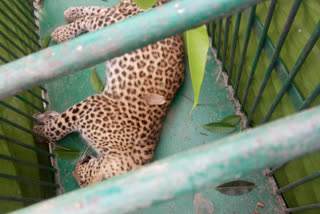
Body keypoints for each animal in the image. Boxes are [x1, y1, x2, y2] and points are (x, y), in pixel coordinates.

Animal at [33, 0, 185, 187]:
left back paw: (70, 13)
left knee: (101, 11)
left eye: (81, 182)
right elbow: (57, 128)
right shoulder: (90, 105)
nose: (75, 171)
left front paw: (46, 118)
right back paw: (62, 32)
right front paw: (39, 131)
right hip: (116, 21)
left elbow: (57, 123)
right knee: (94, 18)